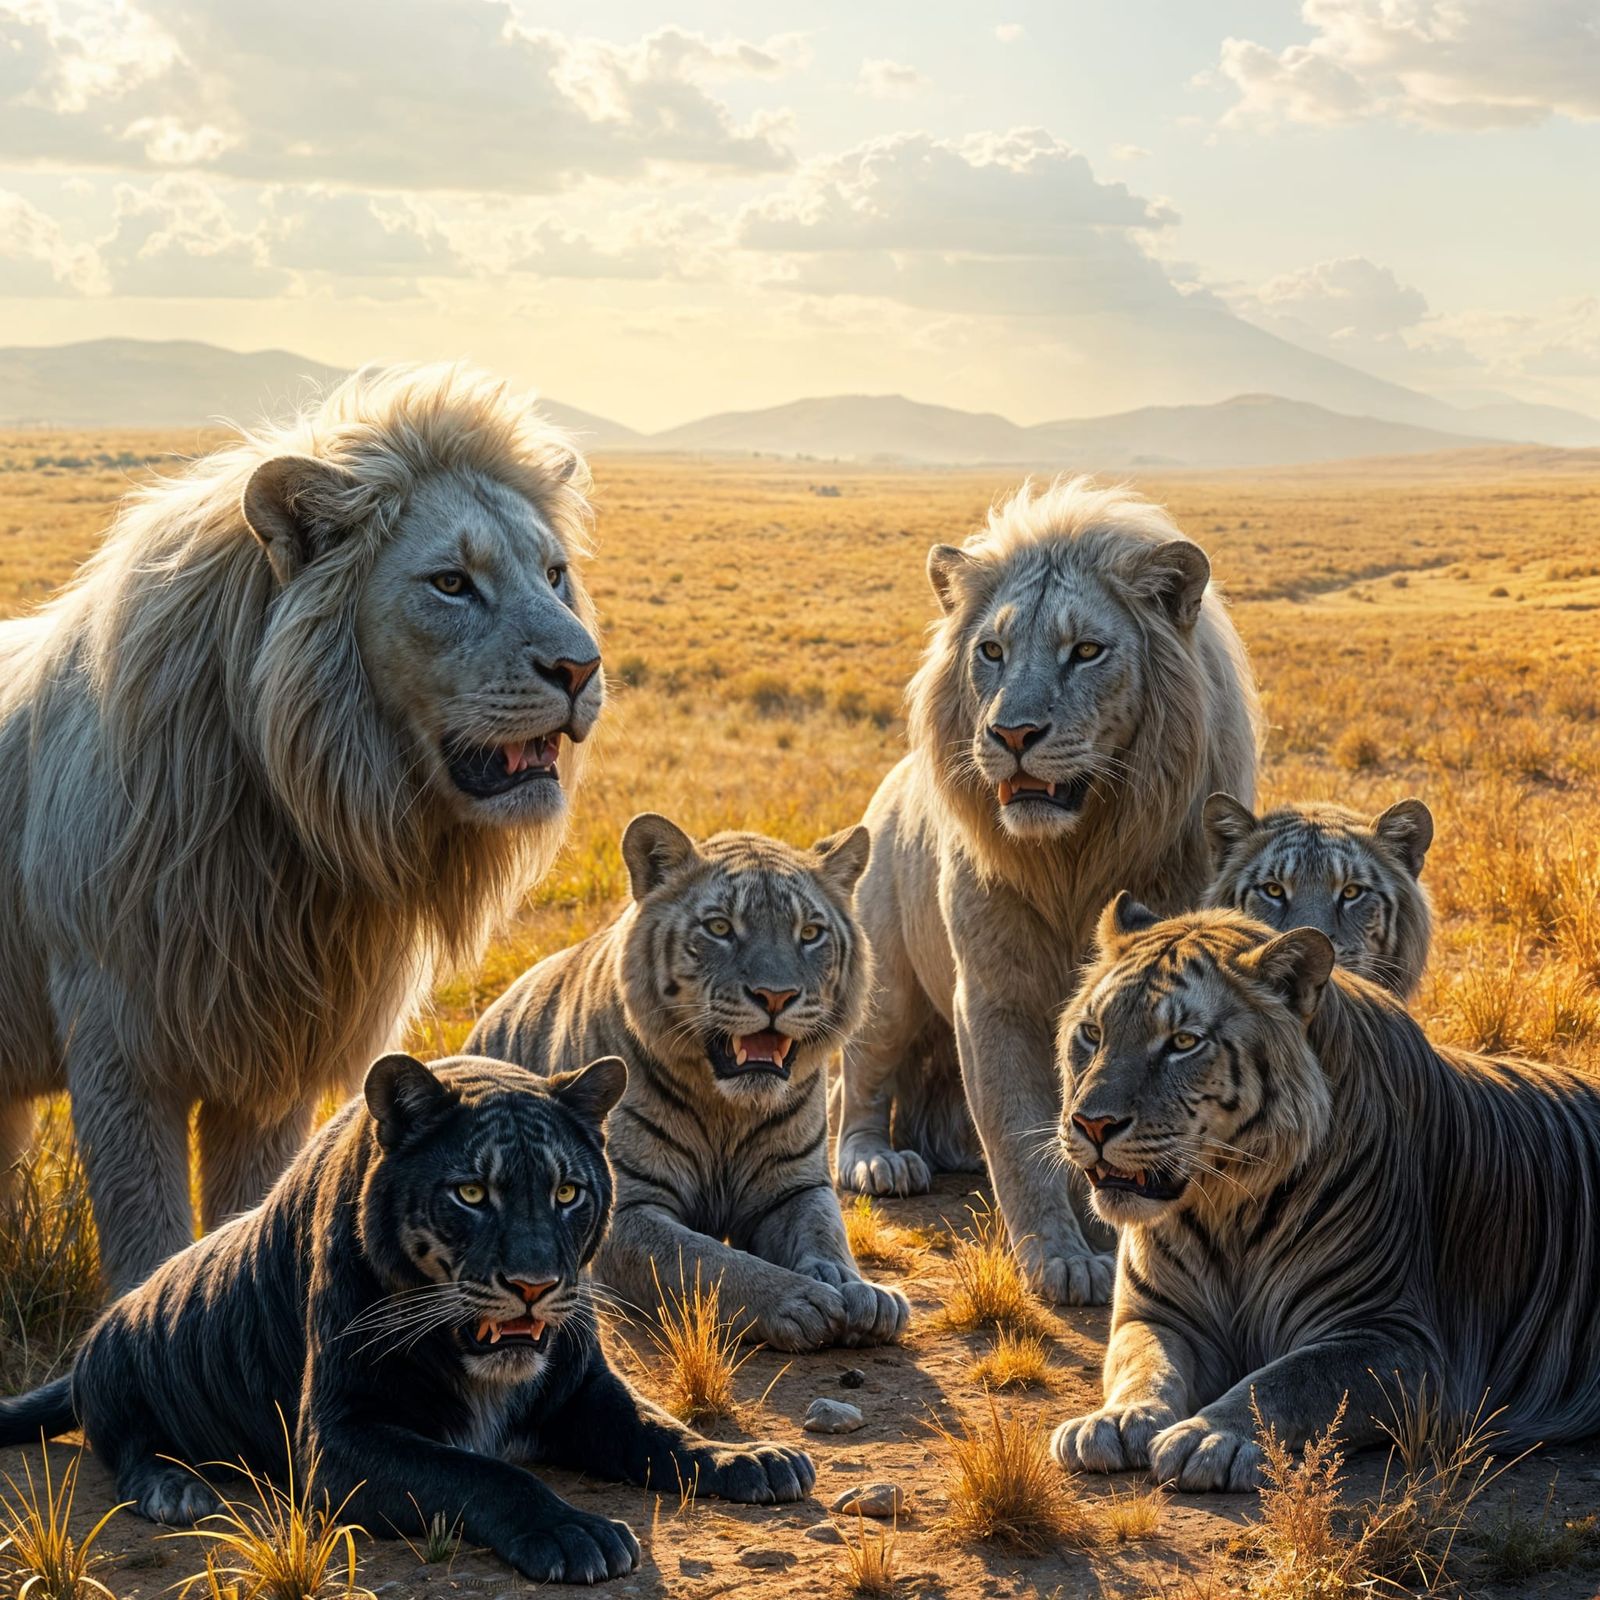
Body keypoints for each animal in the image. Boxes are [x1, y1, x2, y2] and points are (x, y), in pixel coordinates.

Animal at [0, 1054, 814, 1585]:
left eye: (567, 1193)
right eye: (472, 1193)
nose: (534, 1284)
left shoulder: (586, 1390)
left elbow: (665, 1431)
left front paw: (752, 1460)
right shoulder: (341, 1438)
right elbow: (478, 1473)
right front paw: (574, 1532)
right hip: (119, 1376)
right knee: (127, 1451)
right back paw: (177, 1491)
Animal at [469, 813, 909, 1352]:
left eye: (810, 933)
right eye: (720, 927)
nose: (776, 996)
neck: (728, 1109)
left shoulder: (794, 1188)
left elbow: (825, 1236)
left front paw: (862, 1292)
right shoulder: (627, 1207)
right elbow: (708, 1261)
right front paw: (799, 1299)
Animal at [1050, 895, 1600, 1492]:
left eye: (1183, 1042)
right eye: (1093, 1033)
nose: (1093, 1123)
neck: (1226, 1207)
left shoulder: (1393, 1339)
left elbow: (1282, 1381)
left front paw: (1210, 1437)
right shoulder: (1159, 1315)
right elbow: (1146, 1365)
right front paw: (1115, 1420)